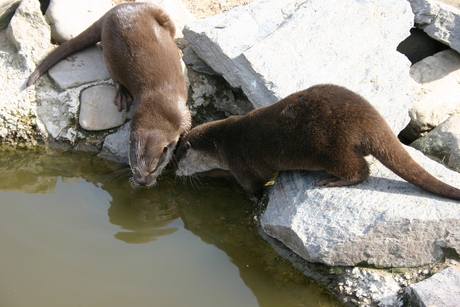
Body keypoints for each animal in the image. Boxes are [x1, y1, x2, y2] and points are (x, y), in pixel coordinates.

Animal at [26, 3, 191, 188]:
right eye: (133, 167)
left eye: (153, 169)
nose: (141, 182)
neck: (157, 108)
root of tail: (115, 9)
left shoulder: (183, 114)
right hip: (109, 48)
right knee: (114, 74)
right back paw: (122, 95)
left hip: (159, 14)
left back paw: (179, 51)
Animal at [174, 84, 460, 201]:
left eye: (177, 157)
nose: (175, 172)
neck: (221, 143)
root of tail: (370, 119)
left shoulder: (241, 164)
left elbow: (253, 187)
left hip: (331, 149)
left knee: (361, 170)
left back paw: (331, 181)